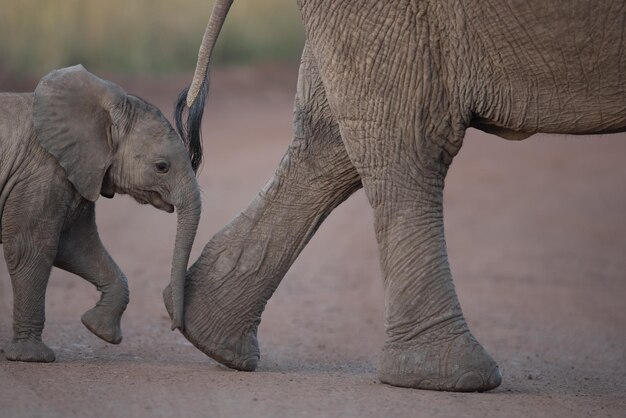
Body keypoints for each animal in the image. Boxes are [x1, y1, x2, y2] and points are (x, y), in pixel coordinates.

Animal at [0, 66, 199, 362]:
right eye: (161, 166)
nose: (176, 326)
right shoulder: (40, 174)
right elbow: (31, 249)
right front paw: (33, 357)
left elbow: (74, 247)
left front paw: (99, 330)